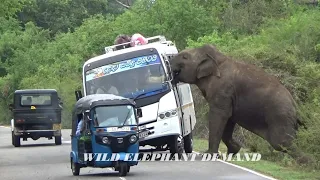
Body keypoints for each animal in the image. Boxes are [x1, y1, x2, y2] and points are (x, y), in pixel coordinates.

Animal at [170, 43, 312, 165]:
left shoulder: (223, 90)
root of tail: (297, 107)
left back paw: (308, 164)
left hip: (280, 116)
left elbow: (220, 116)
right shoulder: (230, 97)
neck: (217, 58)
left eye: (185, 56)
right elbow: (229, 119)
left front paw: (208, 155)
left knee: (281, 142)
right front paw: (234, 151)